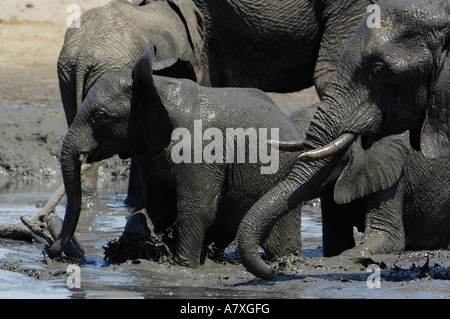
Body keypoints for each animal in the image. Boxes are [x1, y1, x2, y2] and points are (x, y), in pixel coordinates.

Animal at [47, 47, 310, 268]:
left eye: (100, 117)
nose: (51, 251)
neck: (157, 90)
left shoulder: (201, 151)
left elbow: (197, 210)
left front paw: (184, 268)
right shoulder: (149, 150)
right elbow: (157, 206)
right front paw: (140, 245)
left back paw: (286, 262)